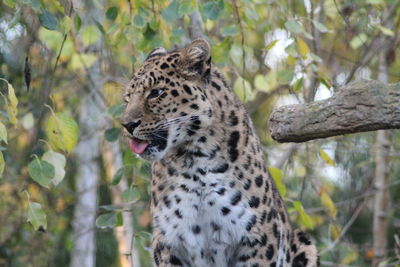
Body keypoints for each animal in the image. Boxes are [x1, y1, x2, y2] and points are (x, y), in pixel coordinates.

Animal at [120, 38, 318, 266]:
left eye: (156, 93)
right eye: (127, 99)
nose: (126, 125)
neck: (194, 161)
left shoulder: (258, 239)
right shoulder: (168, 243)